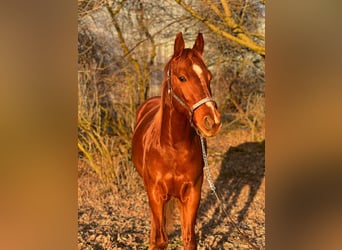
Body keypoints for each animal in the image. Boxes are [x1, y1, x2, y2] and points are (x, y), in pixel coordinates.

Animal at [131, 33, 222, 250]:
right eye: (182, 77)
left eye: (209, 77)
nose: (212, 121)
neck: (172, 147)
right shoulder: (155, 193)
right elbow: (160, 240)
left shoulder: (192, 194)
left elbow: (188, 239)